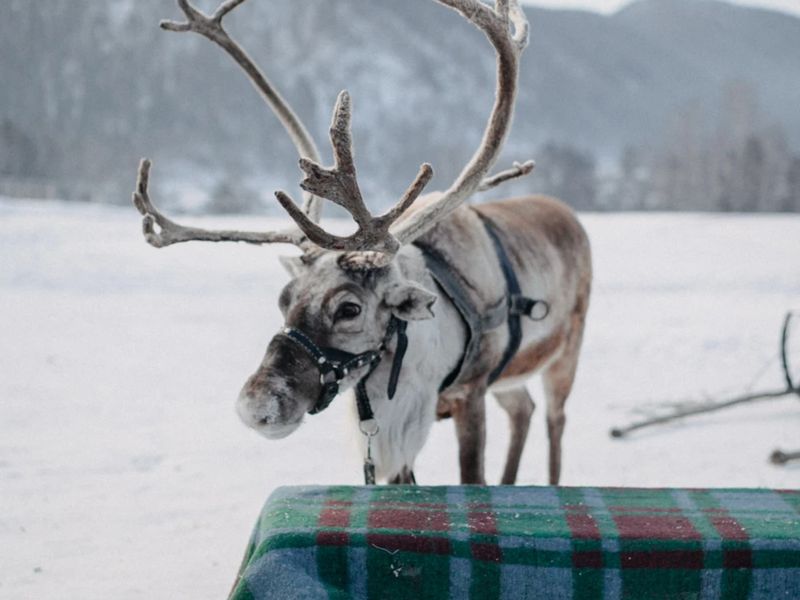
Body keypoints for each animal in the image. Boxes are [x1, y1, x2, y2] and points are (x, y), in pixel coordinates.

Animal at [132, 0, 591, 486]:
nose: (255, 407)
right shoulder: (395, 435)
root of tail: (566, 212)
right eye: (283, 298)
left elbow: (472, 478)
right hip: (512, 378)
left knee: (554, 421)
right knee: (523, 408)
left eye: (349, 309)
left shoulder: (471, 394)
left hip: (564, 356)